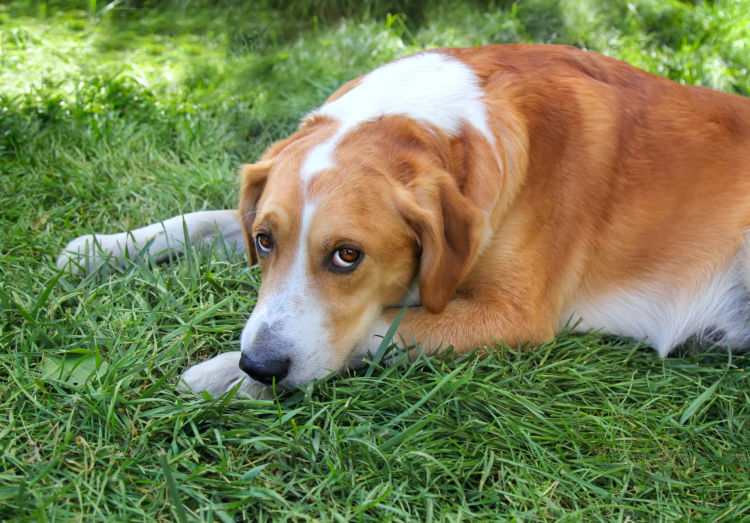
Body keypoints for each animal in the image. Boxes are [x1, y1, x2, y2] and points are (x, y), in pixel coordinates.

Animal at [57, 46, 750, 398]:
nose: (260, 366)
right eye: (264, 240)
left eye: (347, 255)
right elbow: (197, 219)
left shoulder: (514, 315)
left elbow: (382, 327)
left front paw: (225, 371)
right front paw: (102, 247)